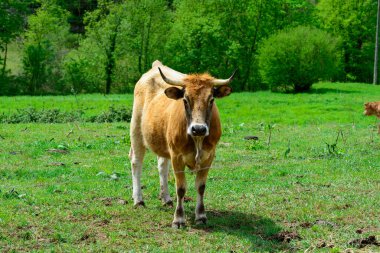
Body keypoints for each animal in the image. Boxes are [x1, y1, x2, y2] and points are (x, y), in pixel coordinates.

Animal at [129, 60, 233, 227]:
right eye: (185, 100)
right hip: (136, 132)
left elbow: (201, 187)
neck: (197, 140)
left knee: (162, 166)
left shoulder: (209, 156)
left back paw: (166, 199)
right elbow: (181, 188)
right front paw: (178, 219)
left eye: (211, 100)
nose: (198, 129)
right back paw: (138, 200)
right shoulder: (177, 157)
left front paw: (201, 215)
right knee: (136, 163)